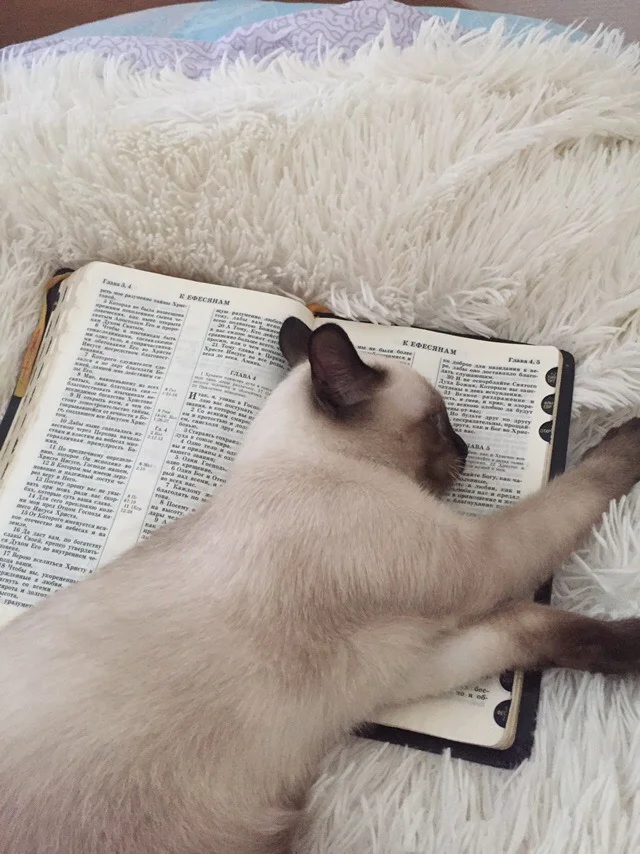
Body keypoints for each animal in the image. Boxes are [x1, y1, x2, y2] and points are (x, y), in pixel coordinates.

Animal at [0, 318, 639, 854]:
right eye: (439, 423)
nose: (468, 449)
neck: (309, 462)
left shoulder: (400, 668)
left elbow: (534, 627)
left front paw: (629, 647)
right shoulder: (481, 561)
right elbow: (576, 492)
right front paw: (631, 434)